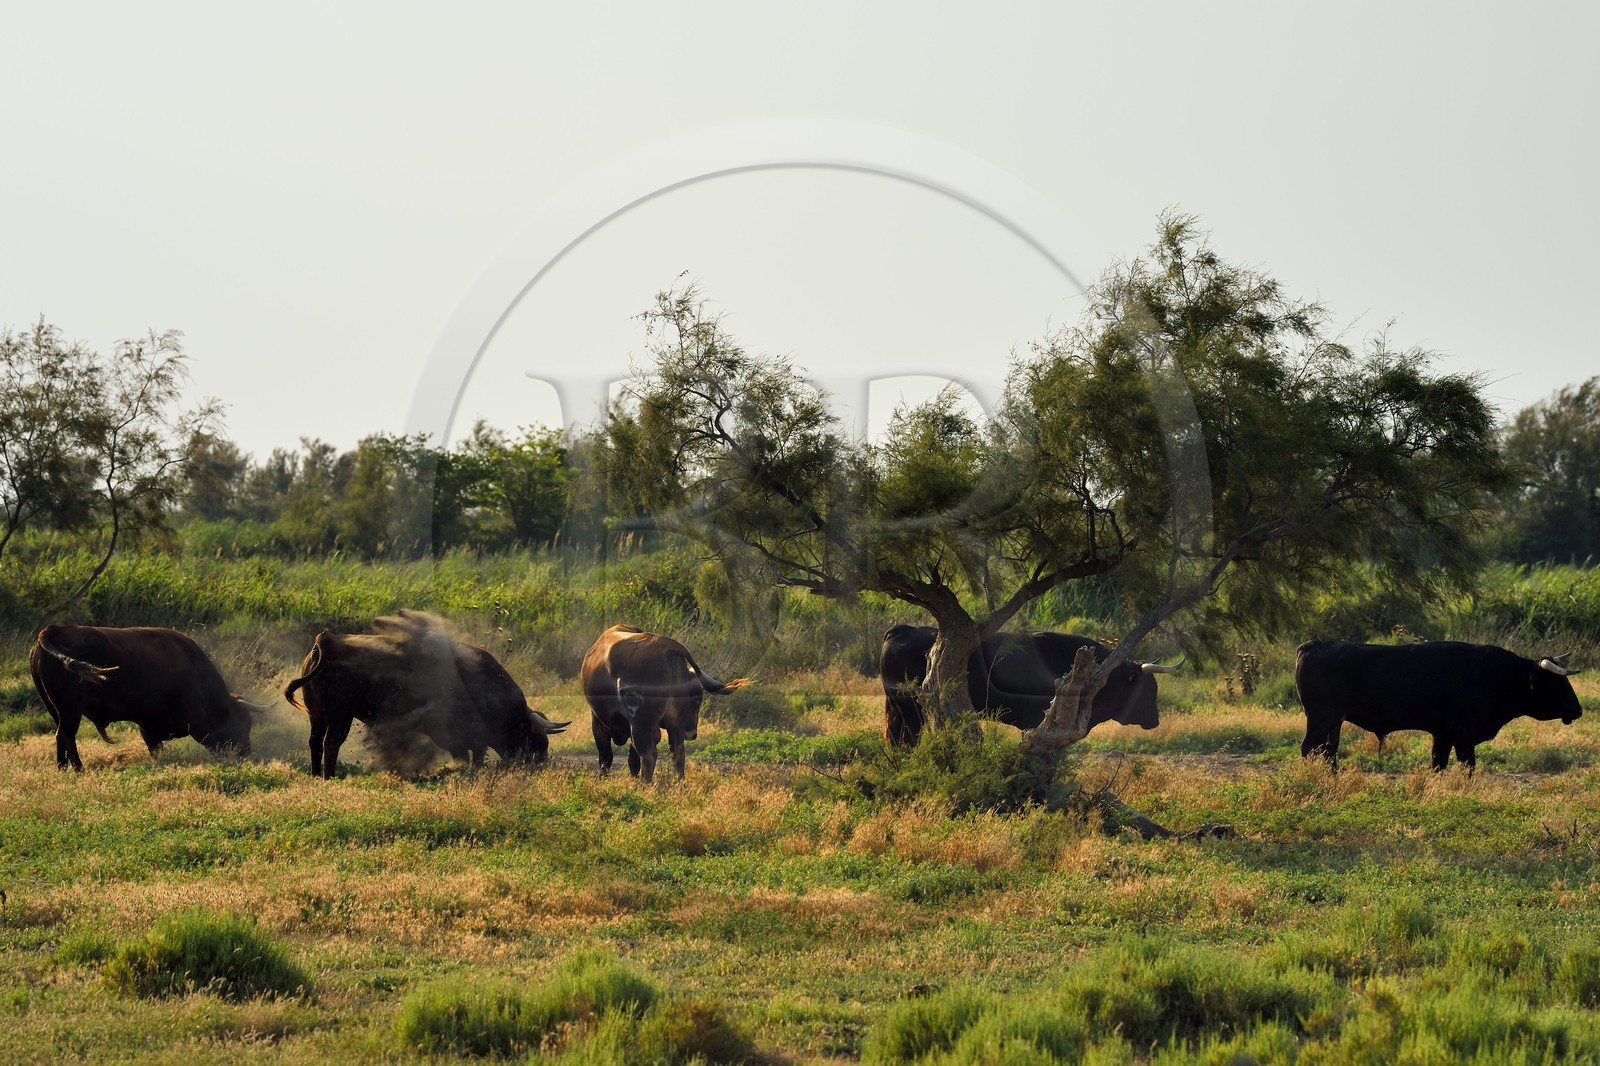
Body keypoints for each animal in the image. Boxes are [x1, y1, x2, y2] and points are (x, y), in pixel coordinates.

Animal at [29, 624, 263, 771]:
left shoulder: (148, 728)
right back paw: (77, 770)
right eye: (243, 722)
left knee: (64, 738)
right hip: (70, 711)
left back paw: (65, 769)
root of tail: (54, 629)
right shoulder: (198, 725)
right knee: (65, 736)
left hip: (57, 711)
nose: (247, 753)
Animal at [282, 611, 569, 778]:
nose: (539, 766)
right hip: (339, 717)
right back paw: (329, 776)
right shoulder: (456, 735)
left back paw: (316, 775)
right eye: (531, 736)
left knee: (314, 742)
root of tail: (326, 640)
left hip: (317, 716)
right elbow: (471, 754)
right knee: (331, 744)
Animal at [580, 624, 750, 783]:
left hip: (641, 725)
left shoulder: (599, 723)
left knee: (648, 755)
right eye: (695, 702)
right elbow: (630, 760)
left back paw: (645, 785)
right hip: (675, 725)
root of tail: (667, 644)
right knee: (678, 753)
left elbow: (607, 758)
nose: (692, 733)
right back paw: (680, 783)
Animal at [1296, 640, 1583, 772]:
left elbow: (1438, 764)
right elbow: (1467, 765)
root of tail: (1314, 645)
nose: (1578, 710)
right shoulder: (1463, 734)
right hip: (1320, 719)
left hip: (1334, 722)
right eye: (1557, 683)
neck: (1492, 674)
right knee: (1310, 749)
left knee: (1328, 752)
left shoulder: (1442, 735)